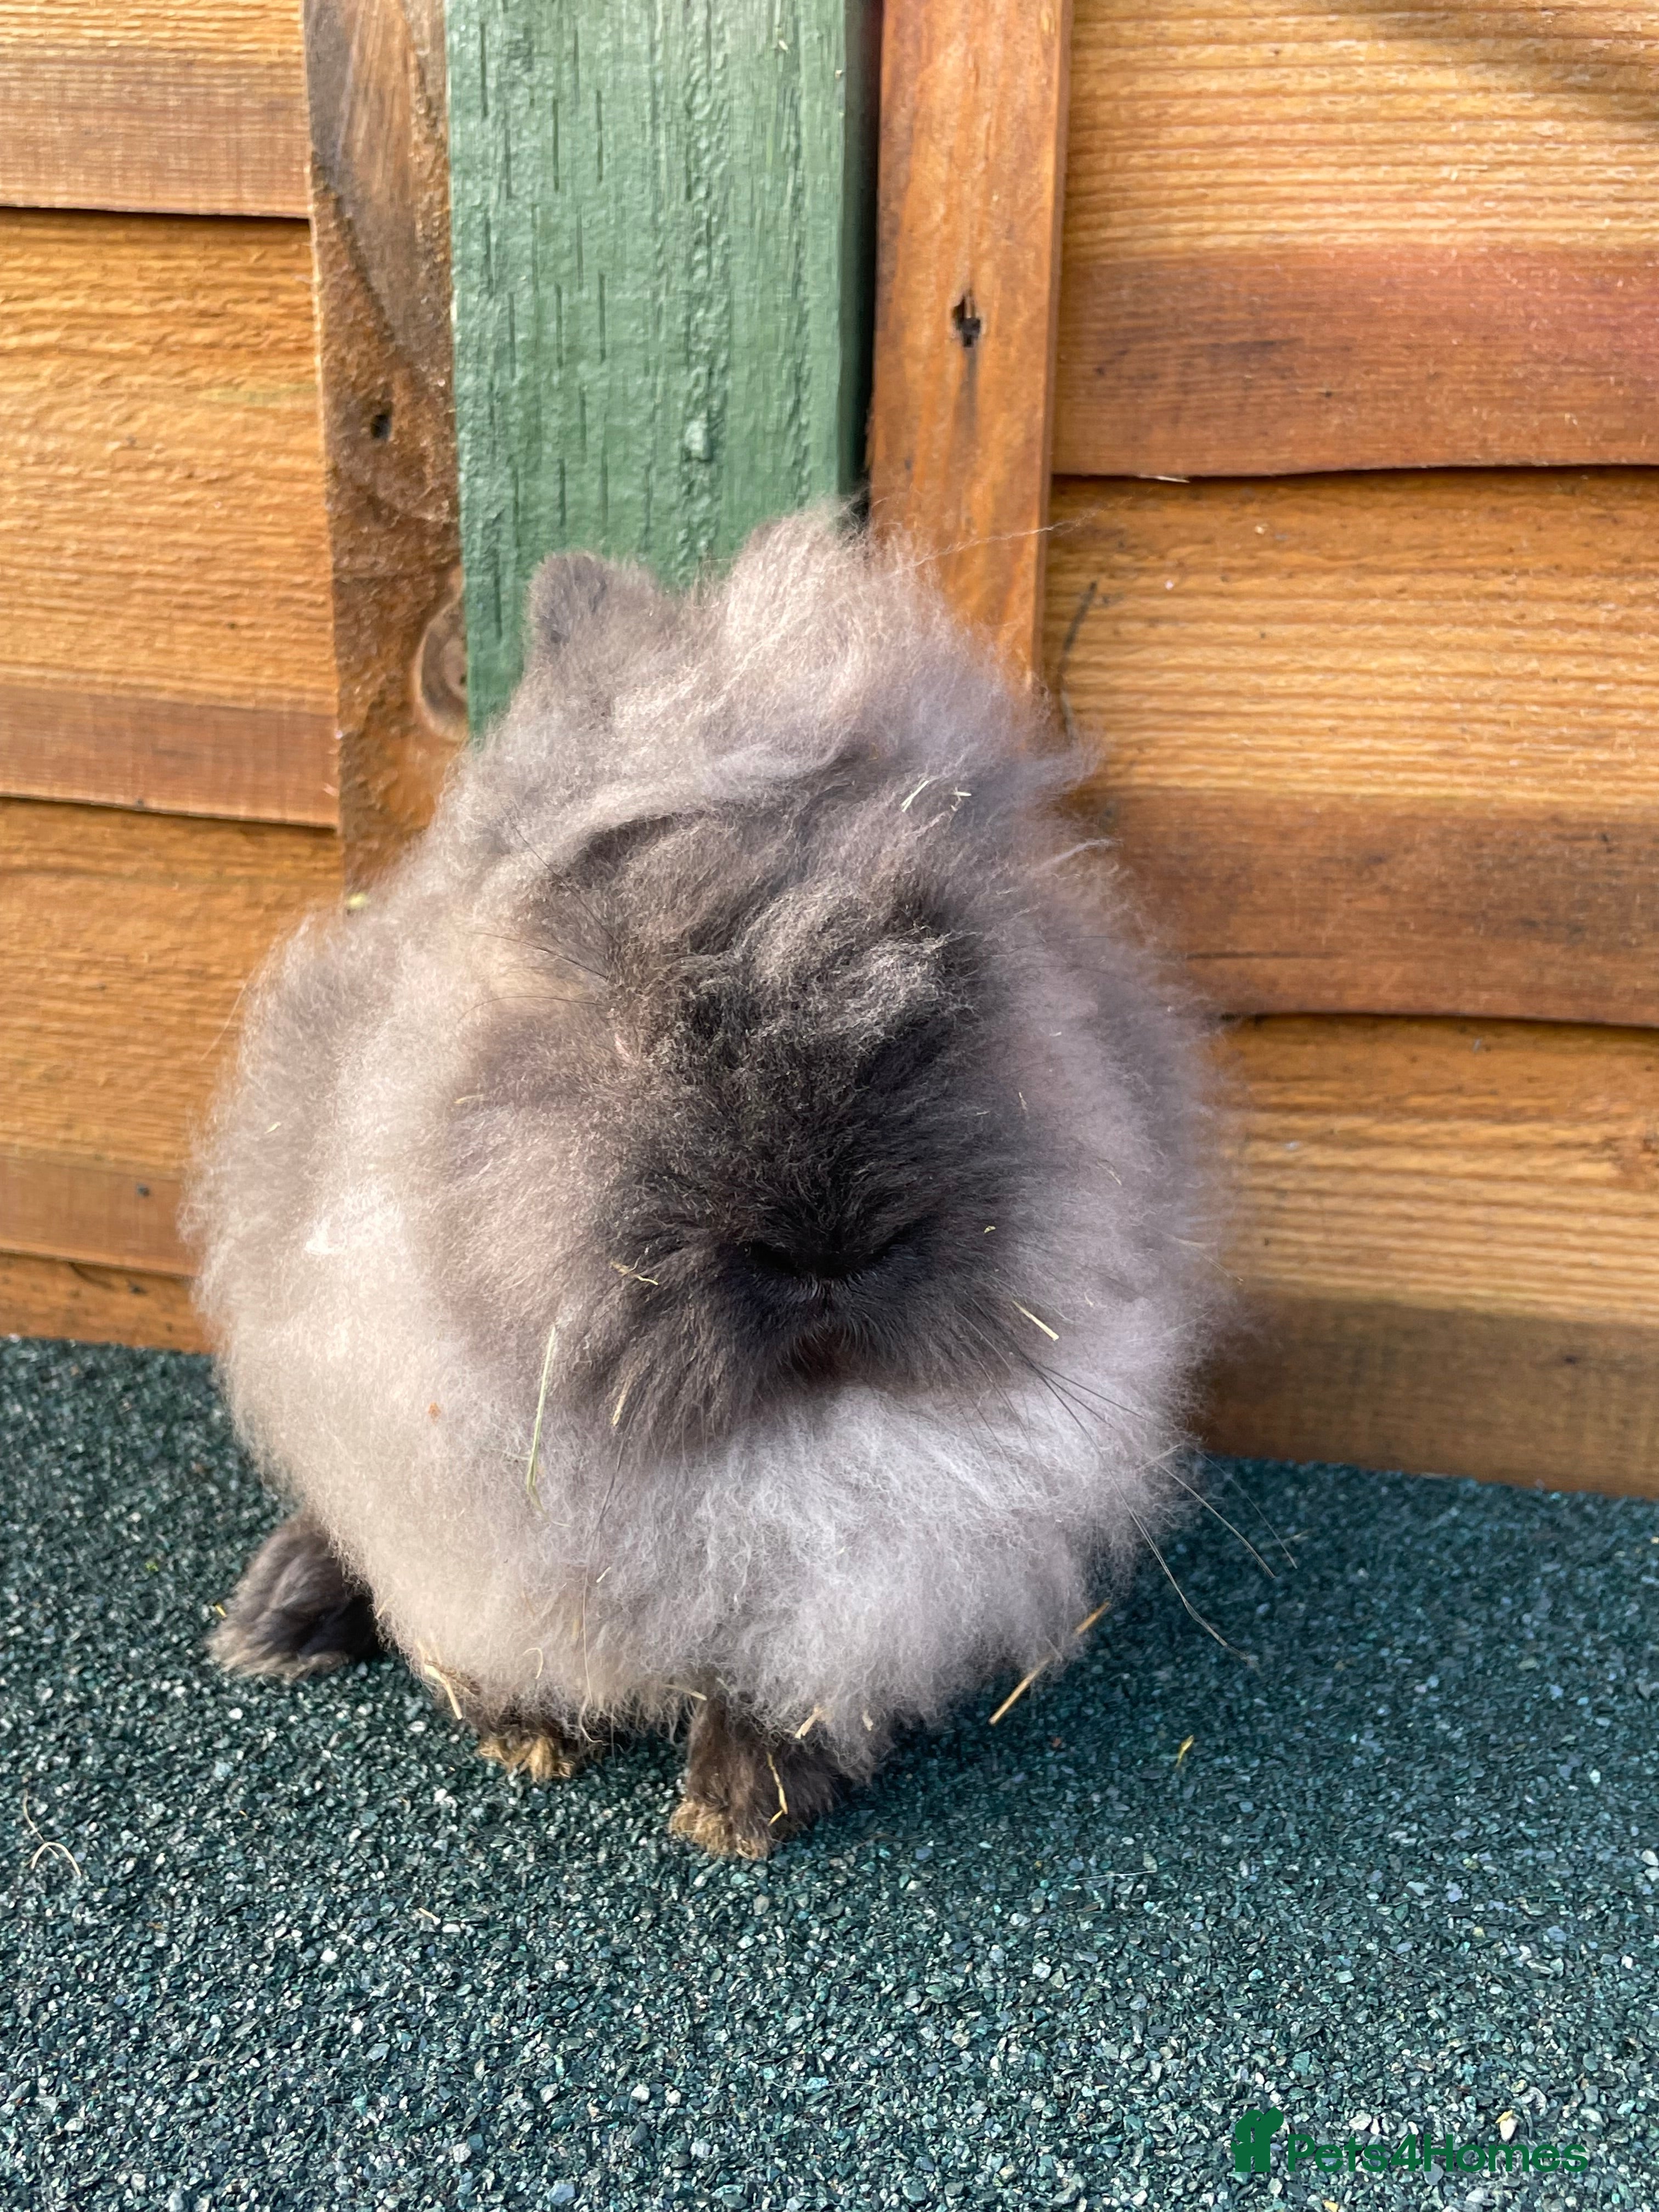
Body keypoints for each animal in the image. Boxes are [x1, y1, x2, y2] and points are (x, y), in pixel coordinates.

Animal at [189, 509, 1218, 1859]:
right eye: (657, 1017)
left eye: (948, 987)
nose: (827, 1246)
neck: (763, 1452)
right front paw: (529, 1735)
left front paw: (740, 1801)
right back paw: (272, 1626)